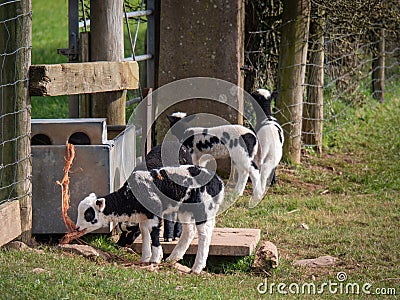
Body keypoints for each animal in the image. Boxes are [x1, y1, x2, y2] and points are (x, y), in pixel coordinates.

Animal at [75, 164, 225, 274]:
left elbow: (154, 233)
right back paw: (173, 258)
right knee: (190, 231)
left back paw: (197, 267)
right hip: (185, 209)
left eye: (88, 215)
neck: (129, 197)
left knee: (204, 234)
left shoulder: (154, 213)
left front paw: (155, 259)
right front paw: (146, 258)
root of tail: (218, 182)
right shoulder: (144, 216)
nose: (77, 228)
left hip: (203, 207)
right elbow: (145, 232)